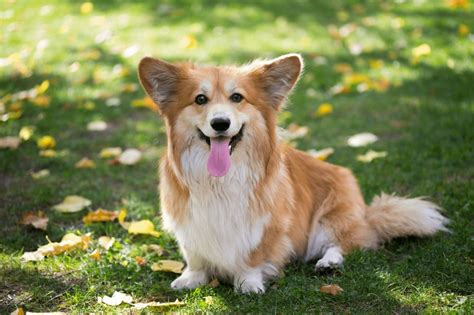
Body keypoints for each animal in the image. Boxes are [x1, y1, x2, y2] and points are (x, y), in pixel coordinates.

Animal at [137, 53, 448, 294]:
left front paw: (249, 283)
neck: (221, 181)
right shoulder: (189, 223)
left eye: (237, 97)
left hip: (334, 216)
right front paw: (191, 278)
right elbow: (196, 256)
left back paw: (329, 263)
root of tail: (366, 213)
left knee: (345, 243)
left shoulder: (267, 225)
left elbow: (253, 256)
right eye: (200, 99)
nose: (220, 123)